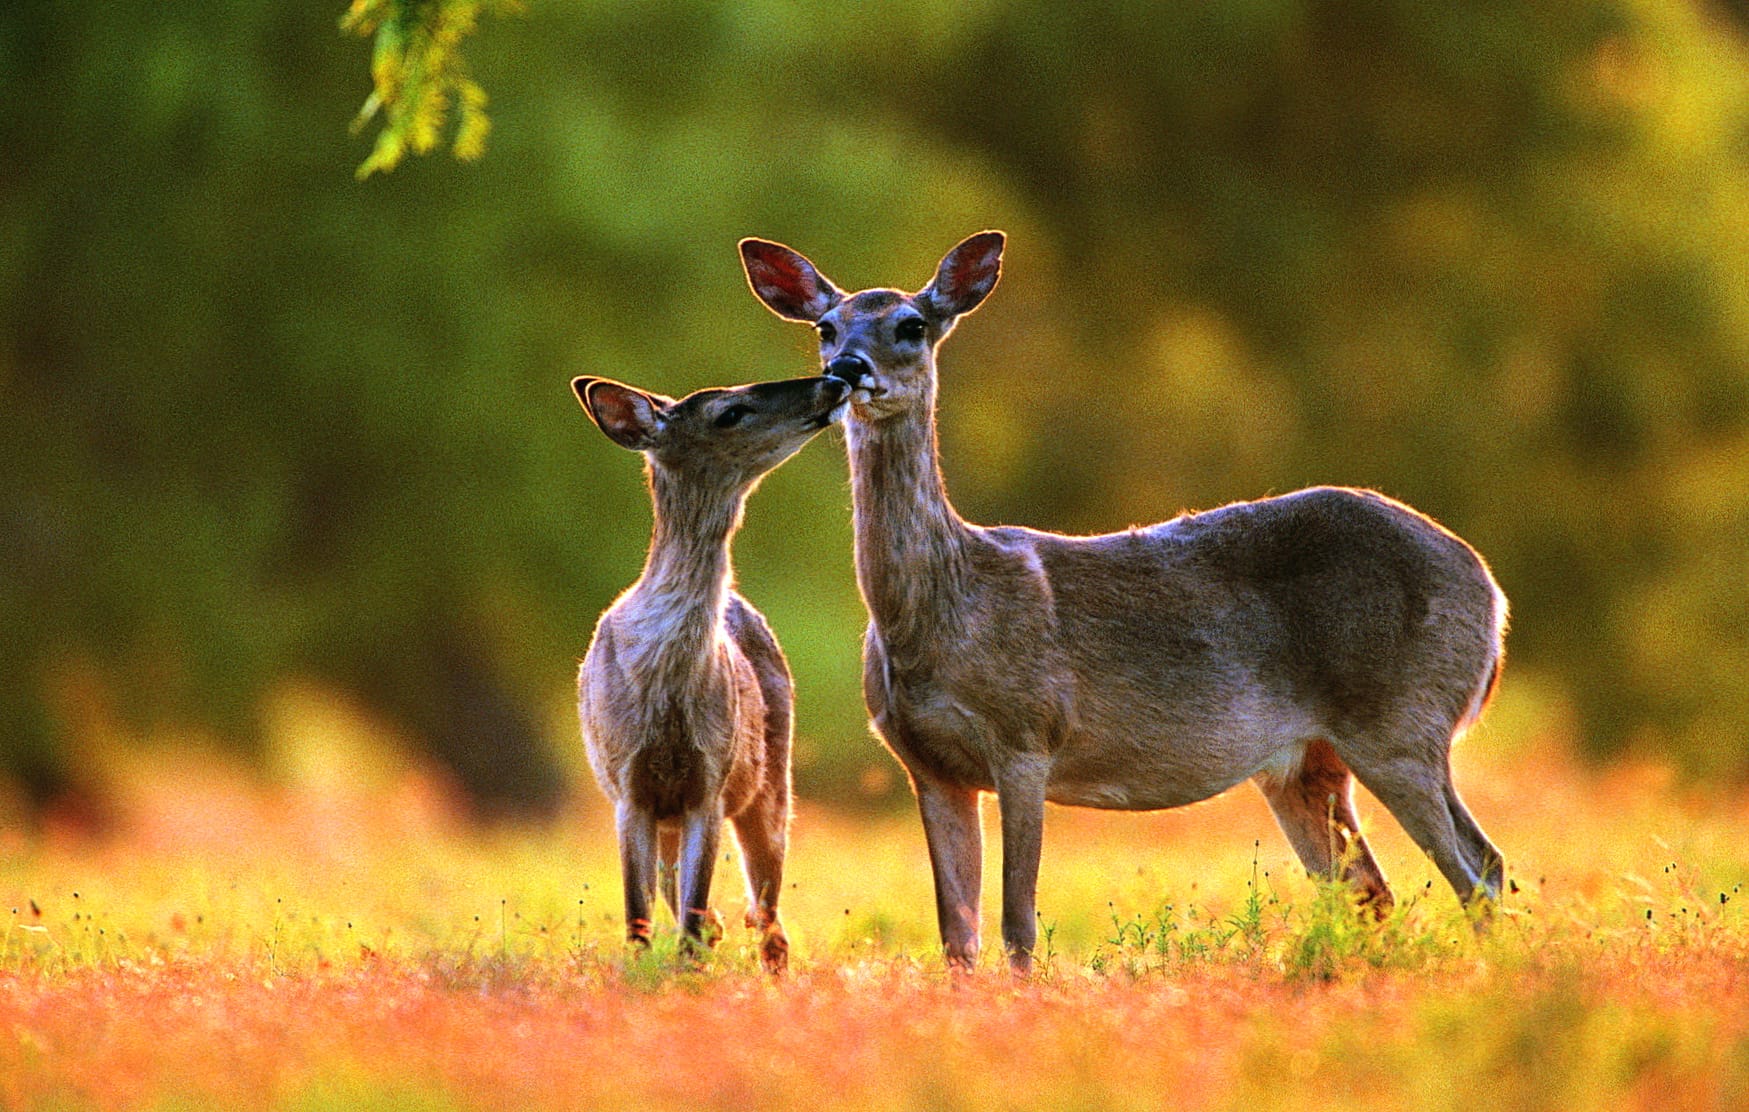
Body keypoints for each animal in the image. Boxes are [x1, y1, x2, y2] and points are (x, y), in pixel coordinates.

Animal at [573, 368, 846, 972]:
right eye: (730, 412)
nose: (834, 380)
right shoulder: (627, 784)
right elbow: (638, 915)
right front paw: (645, 972)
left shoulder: (711, 783)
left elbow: (692, 915)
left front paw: (688, 971)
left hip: (773, 783)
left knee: (768, 915)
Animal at [745, 230, 1511, 972]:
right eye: (825, 327)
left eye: (911, 324)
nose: (847, 370)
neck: (944, 611)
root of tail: (1490, 590)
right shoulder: (928, 766)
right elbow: (956, 938)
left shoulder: (1028, 736)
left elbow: (1017, 924)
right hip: (1307, 762)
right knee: (1371, 890)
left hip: (1401, 718)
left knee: (1479, 866)